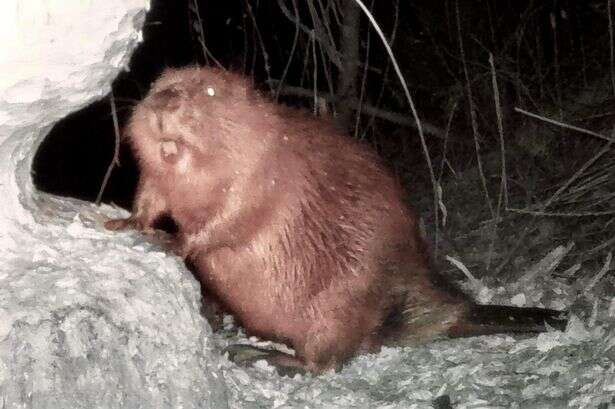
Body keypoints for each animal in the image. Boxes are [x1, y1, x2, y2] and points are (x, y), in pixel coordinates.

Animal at [106, 66, 568, 372]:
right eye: (156, 85)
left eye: (210, 90)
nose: (163, 103)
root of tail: (454, 312)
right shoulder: (159, 179)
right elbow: (150, 196)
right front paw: (126, 223)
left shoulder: (269, 172)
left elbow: (234, 216)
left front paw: (174, 241)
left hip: (341, 306)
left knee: (324, 363)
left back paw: (257, 354)